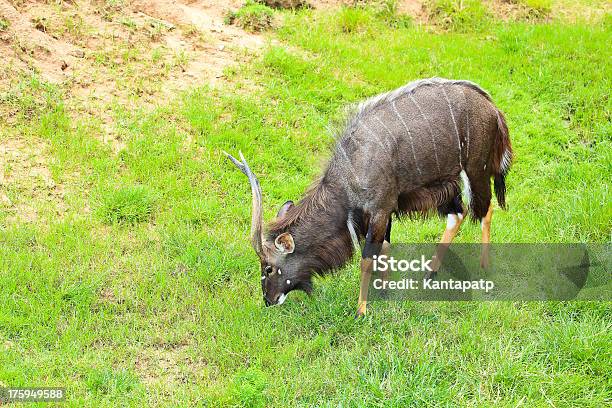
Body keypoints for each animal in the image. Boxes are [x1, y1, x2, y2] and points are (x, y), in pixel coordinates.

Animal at [225, 78, 512, 318]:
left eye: (269, 268)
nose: (268, 300)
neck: (351, 166)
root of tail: (493, 110)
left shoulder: (380, 209)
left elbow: (366, 258)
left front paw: (361, 310)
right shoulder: (382, 213)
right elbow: (384, 249)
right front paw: (385, 291)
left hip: (476, 171)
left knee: (485, 210)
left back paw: (484, 267)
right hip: (447, 184)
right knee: (458, 214)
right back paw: (430, 273)